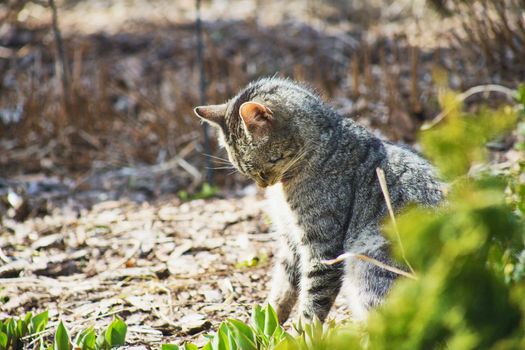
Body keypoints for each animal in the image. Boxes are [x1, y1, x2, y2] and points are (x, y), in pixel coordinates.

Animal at [193, 76, 442, 322]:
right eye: (245, 171)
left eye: (262, 168)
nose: (262, 185)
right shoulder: (290, 240)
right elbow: (282, 289)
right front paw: (266, 325)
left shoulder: (323, 245)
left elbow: (312, 302)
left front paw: (302, 332)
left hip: (368, 261)